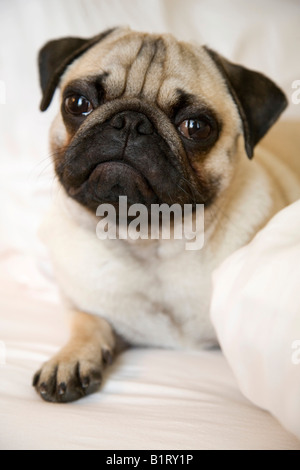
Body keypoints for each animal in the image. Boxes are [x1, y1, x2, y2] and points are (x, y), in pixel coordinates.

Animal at [32, 25, 300, 402]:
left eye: (196, 127)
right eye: (78, 103)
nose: (131, 121)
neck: (148, 242)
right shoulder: (82, 303)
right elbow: (87, 320)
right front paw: (71, 357)